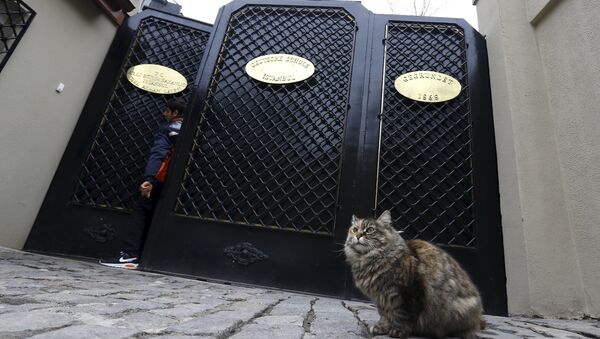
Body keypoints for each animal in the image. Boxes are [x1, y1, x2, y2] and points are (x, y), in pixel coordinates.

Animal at [344, 211, 486, 338]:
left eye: (370, 230)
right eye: (355, 229)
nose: (358, 236)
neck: (367, 261)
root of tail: (478, 318)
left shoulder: (406, 293)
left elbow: (402, 316)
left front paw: (398, 332)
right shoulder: (381, 298)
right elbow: (385, 315)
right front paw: (382, 328)